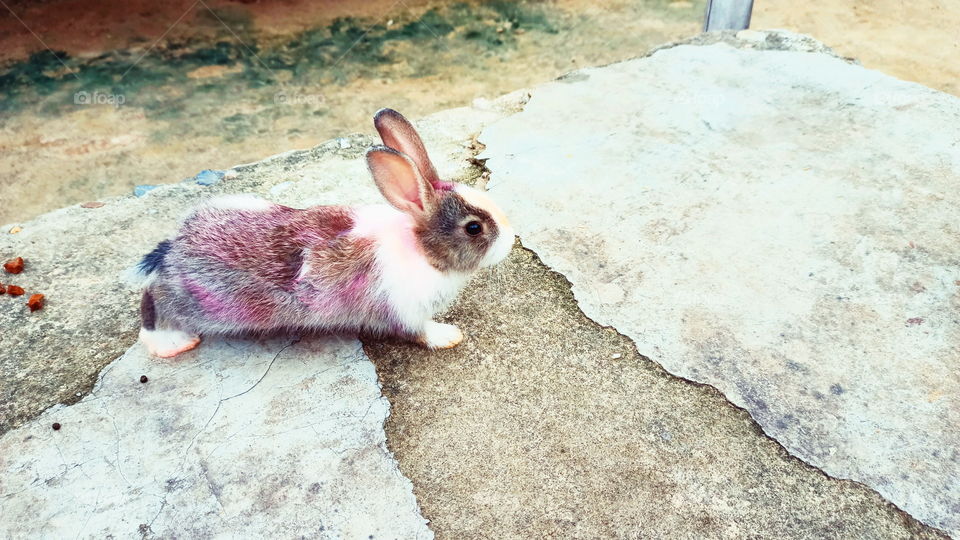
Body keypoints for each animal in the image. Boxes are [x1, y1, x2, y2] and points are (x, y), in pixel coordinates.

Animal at [131, 108, 514, 358]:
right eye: (474, 227)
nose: (510, 239)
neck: (422, 249)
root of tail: (175, 247)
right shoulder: (403, 310)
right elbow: (420, 332)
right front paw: (449, 336)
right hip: (197, 302)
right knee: (153, 303)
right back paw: (172, 345)